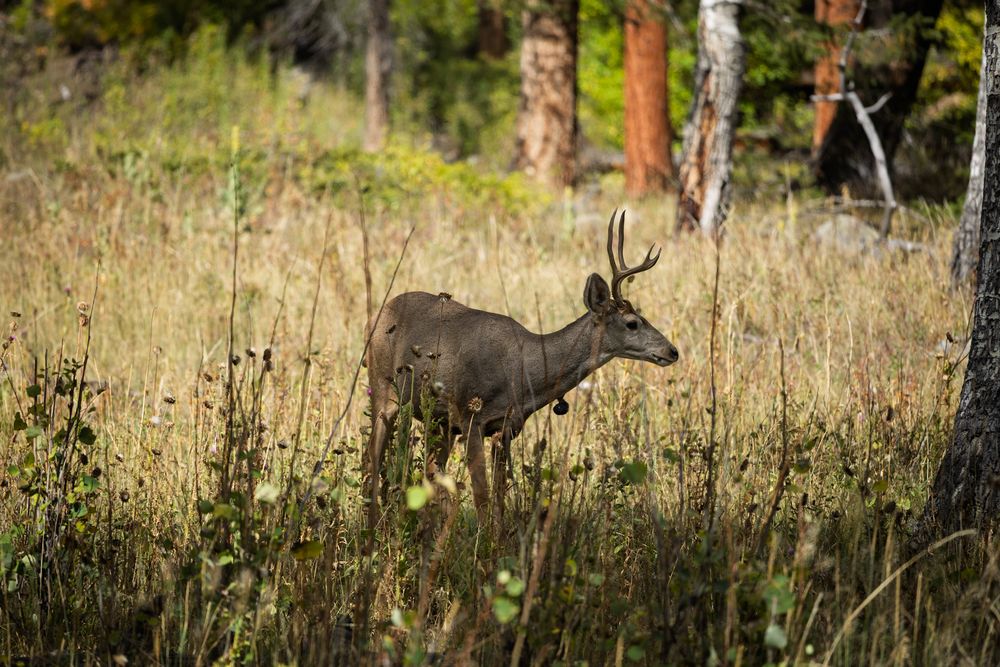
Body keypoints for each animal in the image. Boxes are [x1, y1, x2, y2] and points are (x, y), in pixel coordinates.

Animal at [363, 209, 679, 529]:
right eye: (632, 323)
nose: (672, 351)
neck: (521, 370)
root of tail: (380, 313)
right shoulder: (470, 416)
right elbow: (482, 496)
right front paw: (483, 539)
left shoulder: (506, 427)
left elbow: (500, 498)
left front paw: (498, 536)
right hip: (383, 388)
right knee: (372, 459)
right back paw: (372, 524)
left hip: (440, 421)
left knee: (429, 470)